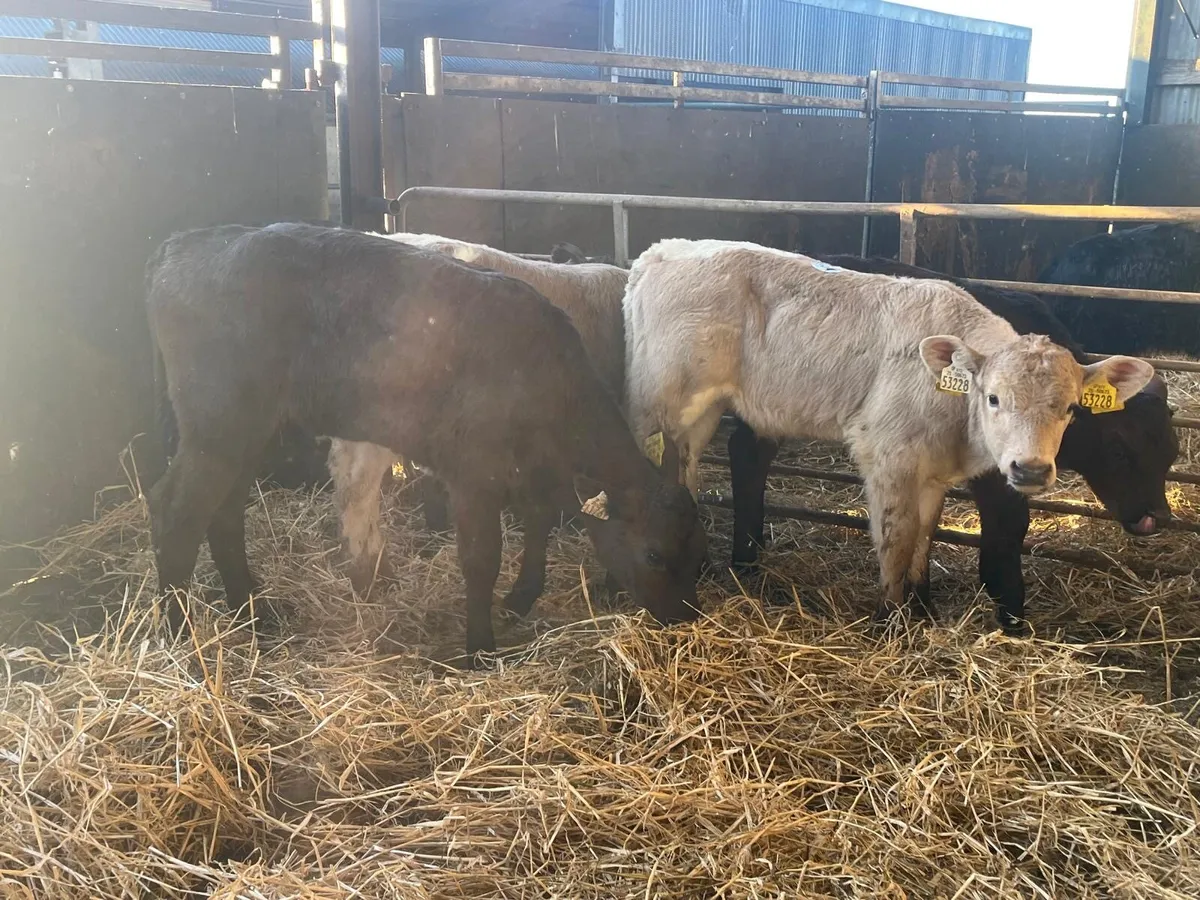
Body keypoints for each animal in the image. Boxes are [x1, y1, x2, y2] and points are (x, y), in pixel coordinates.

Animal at [623, 239, 1155, 626]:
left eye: (1070, 409)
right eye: (993, 398)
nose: (1030, 470)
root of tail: (663, 250)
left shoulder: (934, 471)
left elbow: (925, 534)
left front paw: (923, 605)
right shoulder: (887, 455)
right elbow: (897, 537)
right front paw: (890, 618)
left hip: (701, 411)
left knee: (686, 464)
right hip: (654, 402)